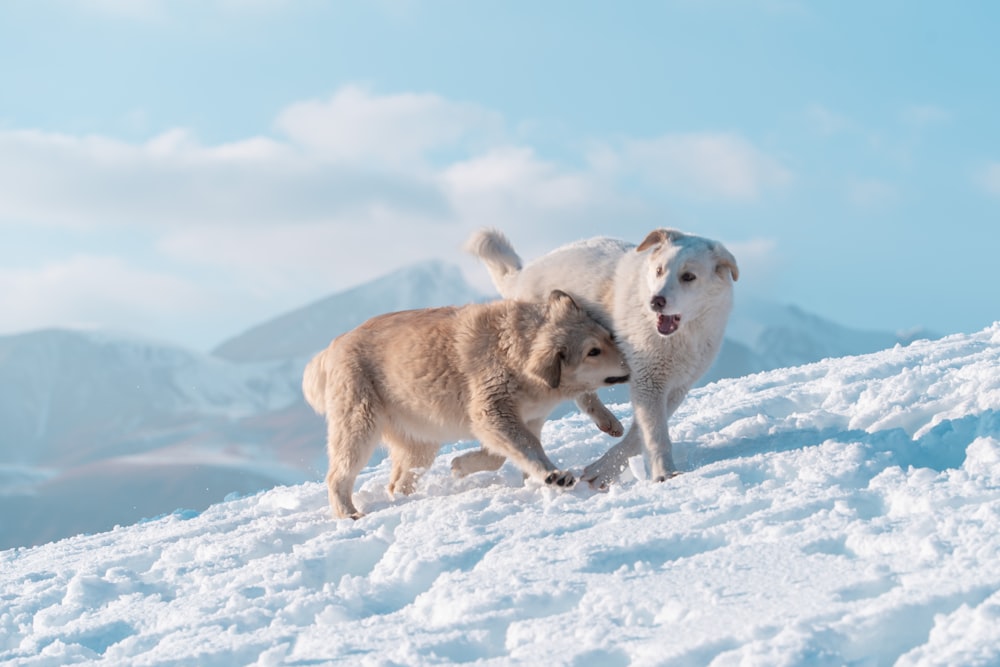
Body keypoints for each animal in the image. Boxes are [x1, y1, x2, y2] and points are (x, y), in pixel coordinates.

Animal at [300, 290, 628, 520]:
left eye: (609, 337)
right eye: (592, 351)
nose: (631, 362)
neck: (513, 351)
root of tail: (334, 346)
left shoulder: (524, 419)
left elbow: (504, 454)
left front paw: (463, 464)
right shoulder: (491, 414)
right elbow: (525, 451)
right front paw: (553, 476)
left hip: (420, 442)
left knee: (398, 483)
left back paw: (406, 501)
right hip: (359, 426)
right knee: (338, 476)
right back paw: (349, 513)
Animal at [464, 232, 740, 488]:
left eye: (688, 277)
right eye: (659, 271)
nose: (655, 301)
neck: (684, 335)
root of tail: (522, 275)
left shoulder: (675, 388)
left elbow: (638, 436)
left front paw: (606, 470)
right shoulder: (649, 381)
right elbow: (655, 434)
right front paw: (664, 474)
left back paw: (606, 421)